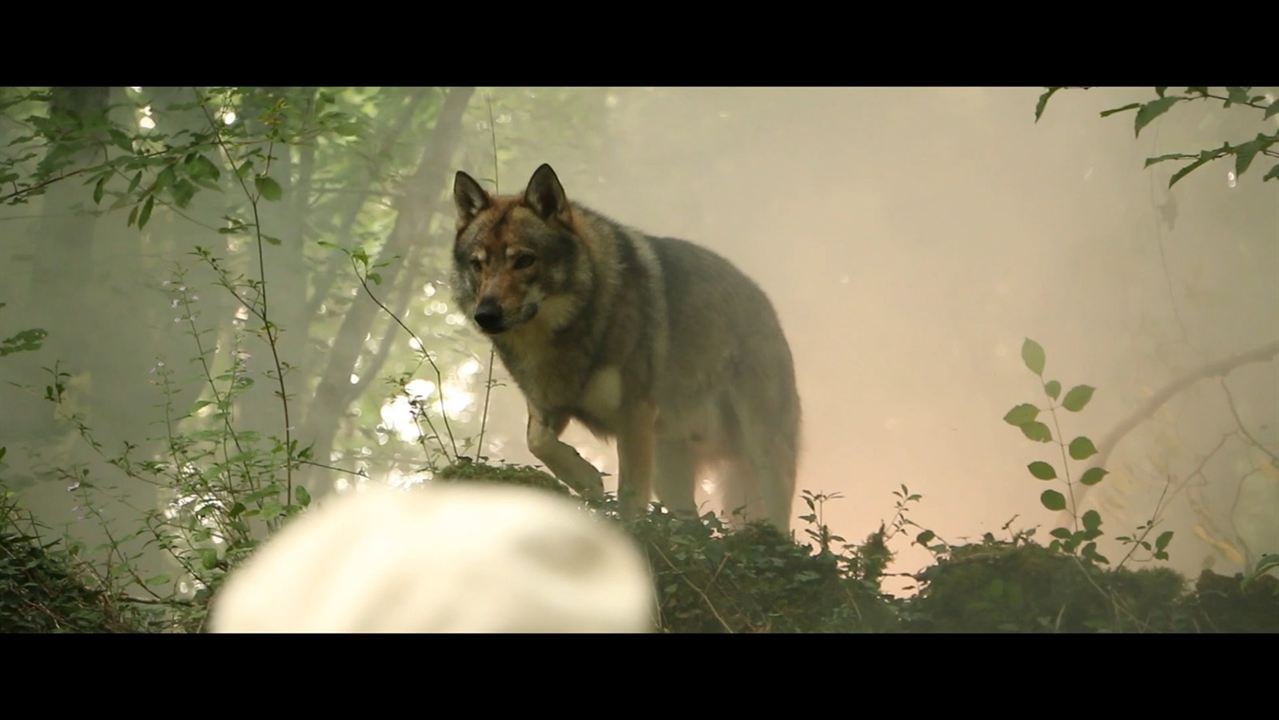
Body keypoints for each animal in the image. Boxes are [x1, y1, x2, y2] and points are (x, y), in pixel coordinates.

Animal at [450, 163, 798, 529]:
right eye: (478, 263)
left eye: (523, 260)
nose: (485, 315)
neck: (565, 332)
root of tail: (764, 303)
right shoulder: (548, 406)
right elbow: (537, 443)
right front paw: (587, 479)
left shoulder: (633, 416)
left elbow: (630, 496)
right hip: (668, 468)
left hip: (761, 453)